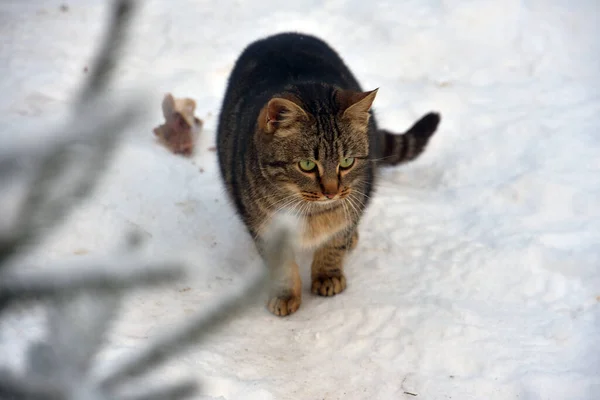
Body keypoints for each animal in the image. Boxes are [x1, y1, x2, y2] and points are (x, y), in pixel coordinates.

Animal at [217, 32, 440, 318]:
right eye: (307, 165)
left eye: (347, 161)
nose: (332, 192)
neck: (311, 215)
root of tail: (280, 35)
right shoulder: (264, 227)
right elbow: (282, 267)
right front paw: (285, 294)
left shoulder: (351, 205)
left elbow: (334, 244)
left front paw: (327, 275)